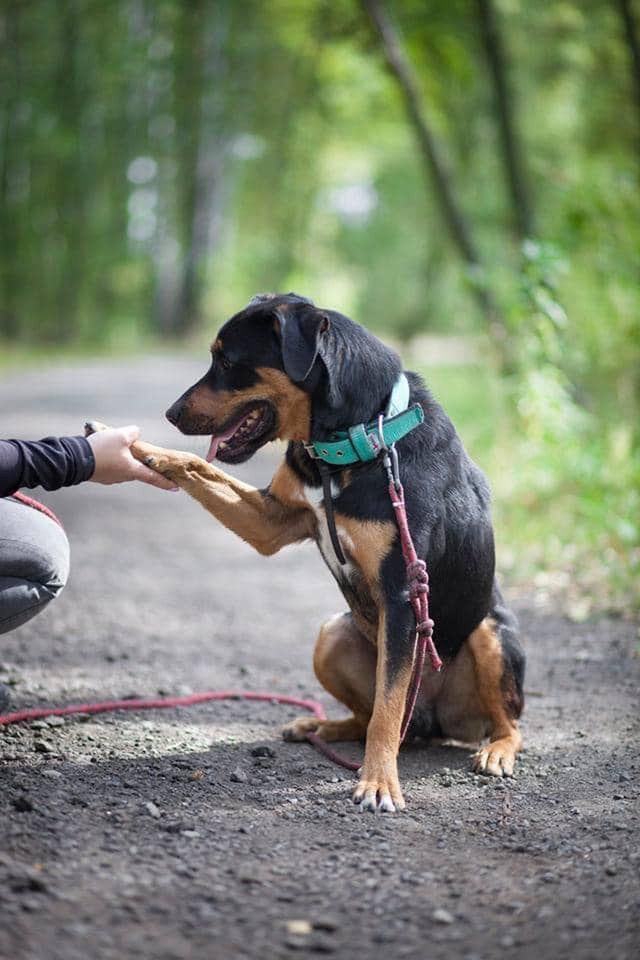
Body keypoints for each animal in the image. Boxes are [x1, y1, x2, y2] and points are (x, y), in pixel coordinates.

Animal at [126, 290, 524, 808]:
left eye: (227, 360)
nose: (171, 413)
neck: (350, 441)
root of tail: (432, 721)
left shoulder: (403, 594)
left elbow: (386, 712)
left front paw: (379, 783)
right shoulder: (272, 520)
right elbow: (200, 467)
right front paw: (142, 451)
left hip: (489, 636)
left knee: (500, 722)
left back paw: (496, 752)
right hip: (330, 635)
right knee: (370, 716)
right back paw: (320, 725)